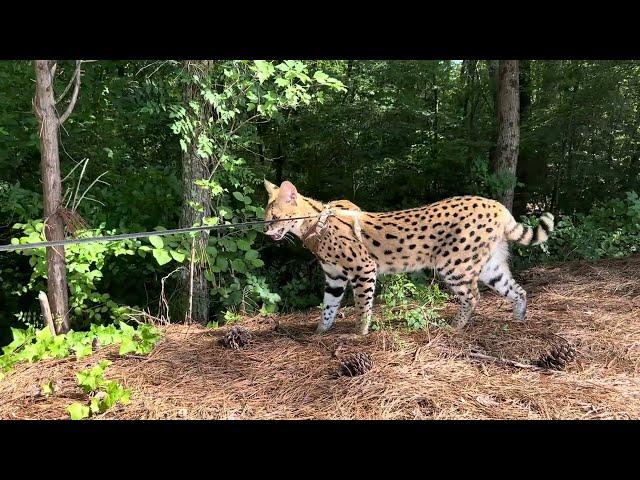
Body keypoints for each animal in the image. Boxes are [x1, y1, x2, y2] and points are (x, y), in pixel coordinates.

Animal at [262, 179, 552, 334]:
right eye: (266, 217)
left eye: (274, 218)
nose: (265, 231)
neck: (314, 223)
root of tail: (498, 206)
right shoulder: (334, 277)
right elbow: (329, 305)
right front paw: (322, 331)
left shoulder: (364, 268)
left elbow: (362, 305)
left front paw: (360, 333)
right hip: (490, 266)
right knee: (517, 290)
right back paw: (519, 320)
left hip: (453, 264)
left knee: (473, 296)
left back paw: (453, 326)